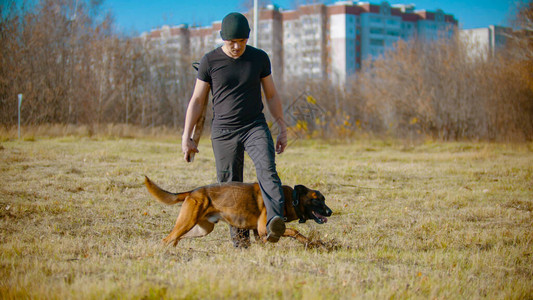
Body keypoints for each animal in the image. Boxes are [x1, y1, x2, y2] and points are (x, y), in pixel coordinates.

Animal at [143, 176, 330, 246]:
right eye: (317, 199)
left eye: (324, 199)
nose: (330, 212)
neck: (291, 198)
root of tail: (193, 192)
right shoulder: (264, 228)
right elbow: (293, 231)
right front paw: (310, 242)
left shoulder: (259, 232)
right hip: (187, 222)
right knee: (167, 238)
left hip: (201, 229)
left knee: (175, 238)